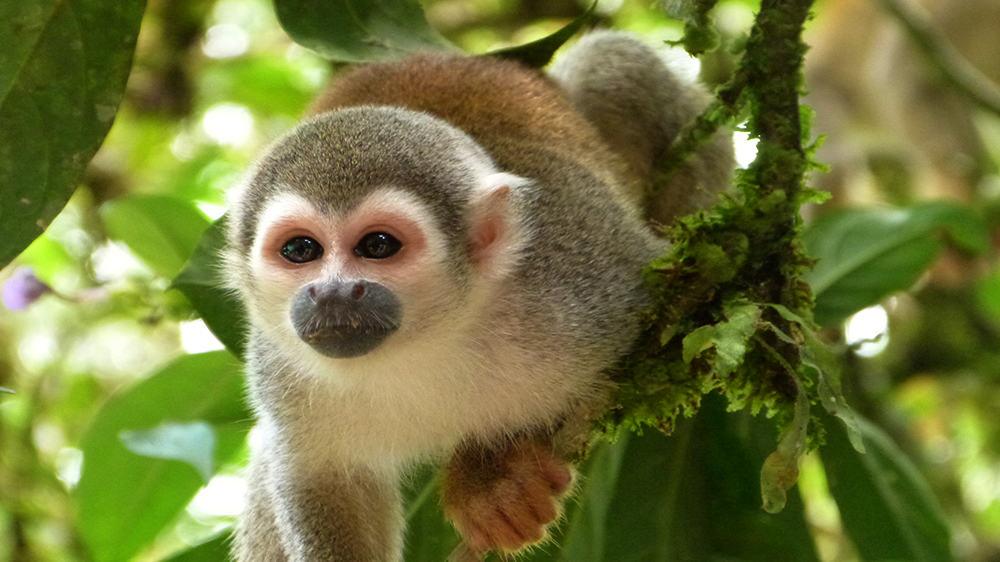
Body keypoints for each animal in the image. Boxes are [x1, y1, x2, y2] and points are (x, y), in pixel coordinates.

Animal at [225, 29, 736, 560]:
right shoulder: (280, 371)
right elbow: (319, 479)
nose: (332, 293)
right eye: (301, 250)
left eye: (378, 245)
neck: (430, 338)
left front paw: (490, 474)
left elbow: (703, 306)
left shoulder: (589, 280)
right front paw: (492, 481)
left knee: (611, 60)